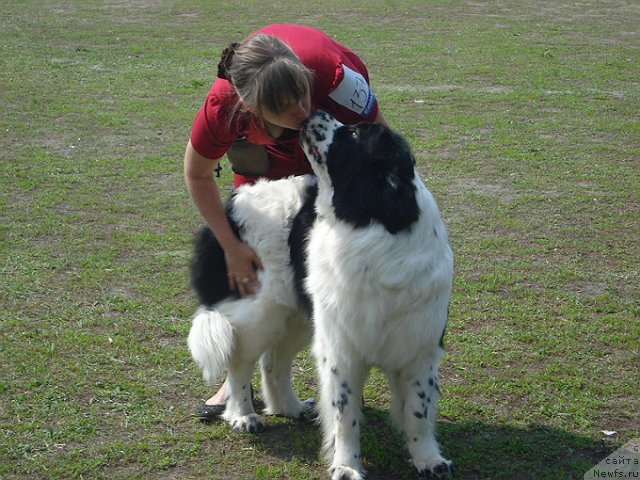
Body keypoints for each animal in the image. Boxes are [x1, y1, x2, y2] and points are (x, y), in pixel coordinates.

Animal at [188, 110, 452, 478]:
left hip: (299, 317)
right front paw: (346, 465)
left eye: (354, 134)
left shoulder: (419, 347)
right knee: (240, 363)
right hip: (259, 315)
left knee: (273, 362)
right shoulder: (341, 349)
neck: (370, 224)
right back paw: (243, 415)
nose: (316, 112)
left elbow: (418, 411)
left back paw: (289, 407)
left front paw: (428, 459)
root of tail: (229, 207)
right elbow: (345, 416)